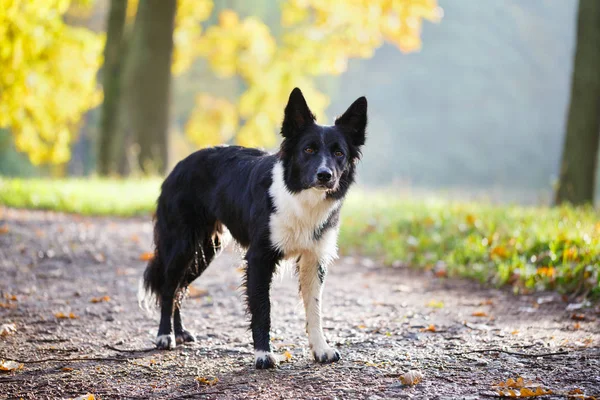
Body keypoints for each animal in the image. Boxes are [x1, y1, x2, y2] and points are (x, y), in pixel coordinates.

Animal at [141, 87, 366, 368]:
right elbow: (262, 308)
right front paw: (263, 355)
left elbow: (314, 308)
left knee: (181, 288)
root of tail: (179, 165)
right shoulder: (260, 257)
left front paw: (321, 349)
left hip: (204, 250)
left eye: (339, 154)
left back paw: (180, 332)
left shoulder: (314, 258)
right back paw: (165, 335)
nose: (325, 176)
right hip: (182, 245)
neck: (300, 199)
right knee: (169, 286)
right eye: (308, 149)